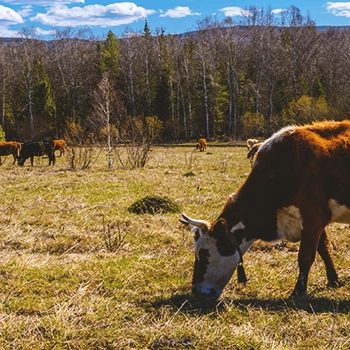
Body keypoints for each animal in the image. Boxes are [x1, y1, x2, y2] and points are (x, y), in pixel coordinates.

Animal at [180, 119, 350, 298]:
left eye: (203, 253)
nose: (196, 290)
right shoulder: (313, 221)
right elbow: (324, 249)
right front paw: (334, 279)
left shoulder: (312, 217)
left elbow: (306, 256)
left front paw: (298, 291)